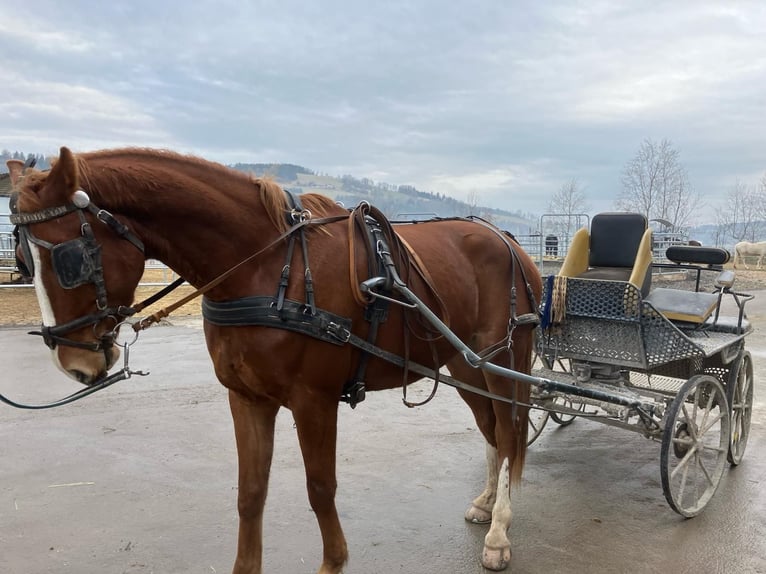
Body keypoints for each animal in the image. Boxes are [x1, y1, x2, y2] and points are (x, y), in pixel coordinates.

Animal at [9, 147, 542, 574]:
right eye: (24, 262)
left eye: (70, 259)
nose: (74, 362)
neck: (267, 267)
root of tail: (510, 242)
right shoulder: (246, 397)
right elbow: (250, 493)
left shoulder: (314, 401)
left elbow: (320, 488)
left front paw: (333, 562)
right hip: (467, 364)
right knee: (492, 430)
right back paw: (486, 502)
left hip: (505, 360)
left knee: (510, 432)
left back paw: (499, 531)